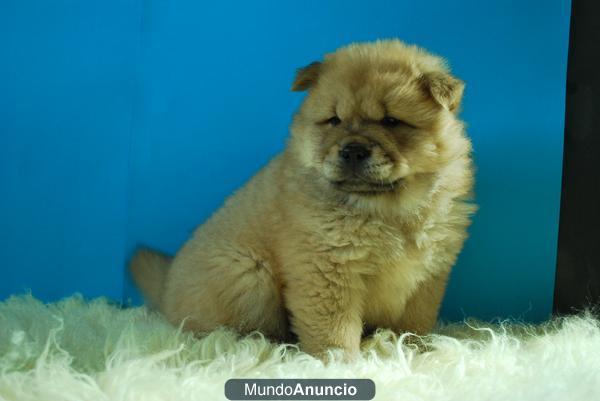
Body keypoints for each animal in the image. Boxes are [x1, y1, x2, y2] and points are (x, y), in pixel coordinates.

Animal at [130, 39, 474, 356]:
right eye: (334, 120)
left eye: (391, 121)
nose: (353, 150)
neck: (386, 209)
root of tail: (166, 289)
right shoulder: (327, 268)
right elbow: (335, 327)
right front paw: (338, 361)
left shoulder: (429, 273)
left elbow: (415, 321)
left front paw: (414, 349)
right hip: (249, 274)